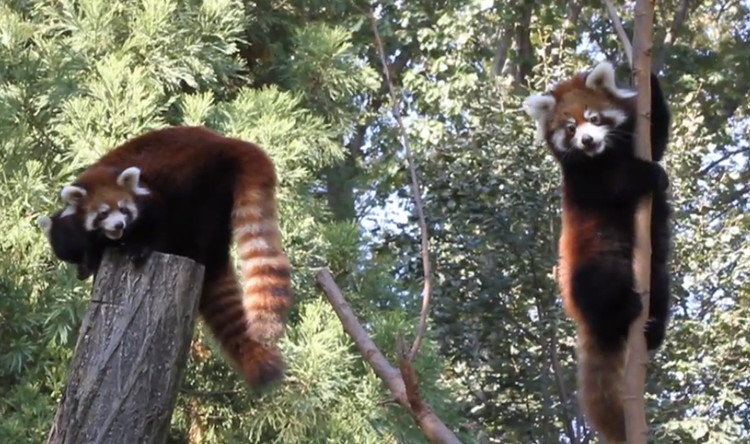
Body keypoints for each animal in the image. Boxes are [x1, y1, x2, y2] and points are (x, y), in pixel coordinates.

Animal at [40, 125, 294, 388]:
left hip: (197, 182)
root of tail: (227, 142)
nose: (81, 273)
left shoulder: (148, 199)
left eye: (118, 211)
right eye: (74, 259)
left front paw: (140, 248)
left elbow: (158, 226)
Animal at [524, 61, 676, 440]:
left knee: (660, 285)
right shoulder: (585, 181)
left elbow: (659, 134)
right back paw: (623, 310)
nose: (588, 140)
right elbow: (617, 184)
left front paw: (648, 77)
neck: (605, 155)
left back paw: (652, 330)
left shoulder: (638, 138)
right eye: (570, 128)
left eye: (593, 118)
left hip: (655, 274)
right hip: (593, 266)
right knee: (602, 289)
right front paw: (649, 174)